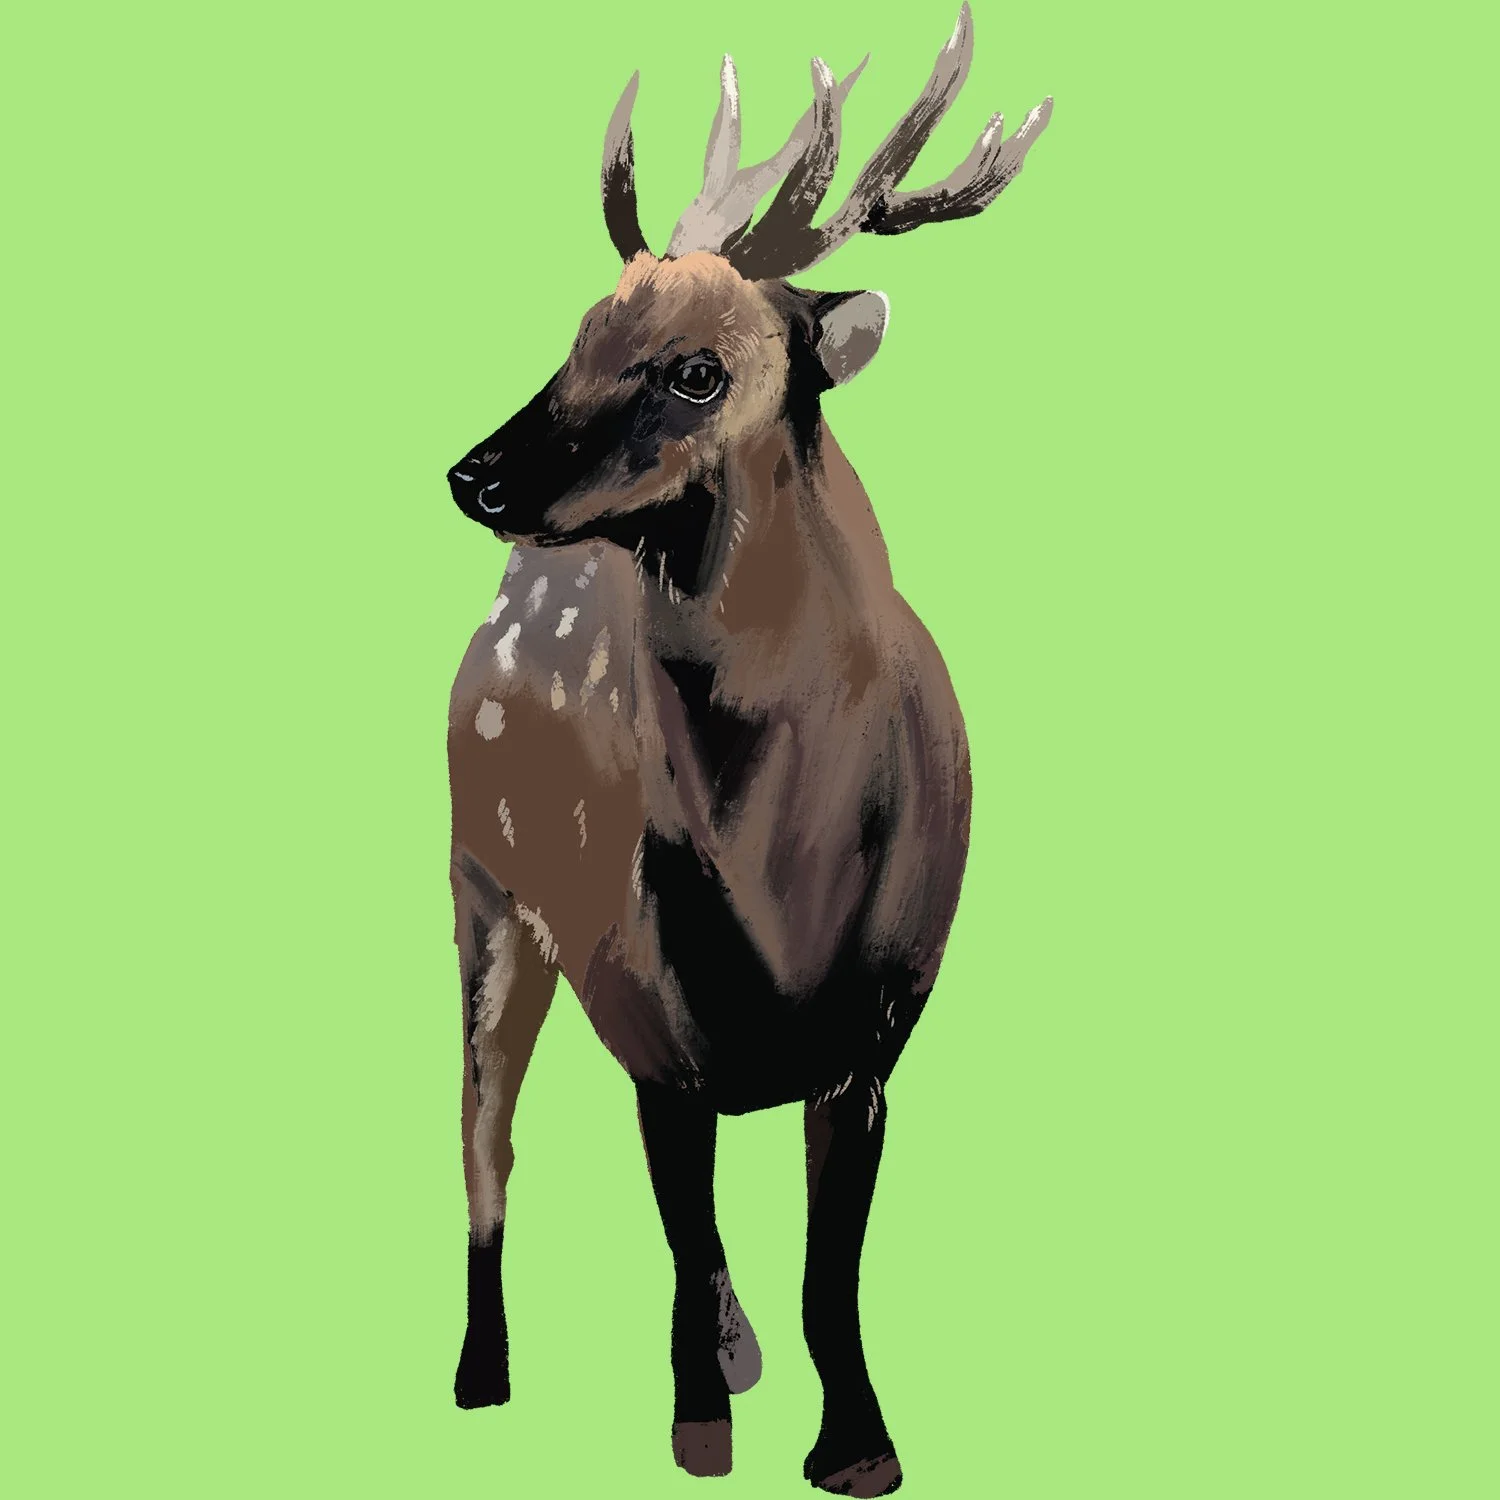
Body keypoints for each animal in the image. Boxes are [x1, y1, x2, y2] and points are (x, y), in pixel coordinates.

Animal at [442, 7, 1051, 1493]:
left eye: (696, 366)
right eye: (582, 330)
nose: (476, 474)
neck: (782, 874)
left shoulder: (881, 1024)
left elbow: (831, 1269)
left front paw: (859, 1446)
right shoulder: (648, 1000)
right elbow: (685, 1229)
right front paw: (700, 1428)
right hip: (478, 881)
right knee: (485, 1135)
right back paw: (484, 1378)